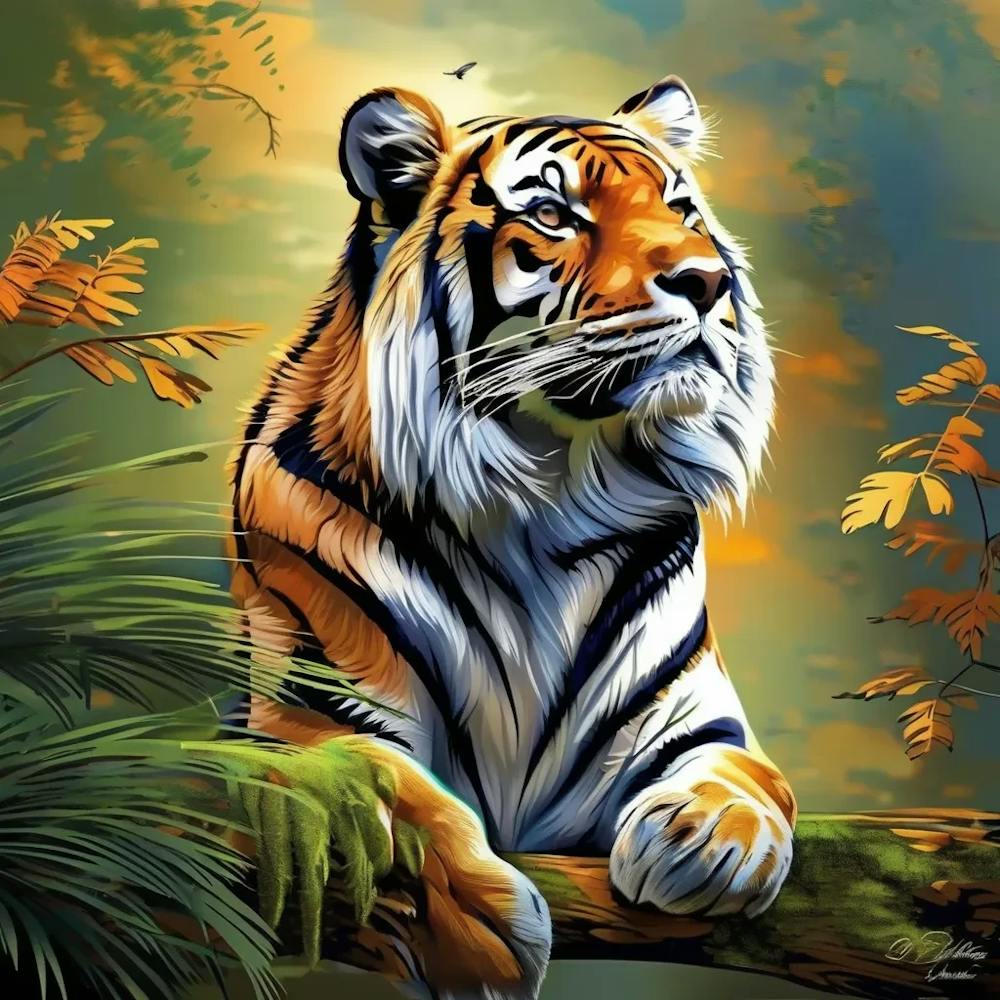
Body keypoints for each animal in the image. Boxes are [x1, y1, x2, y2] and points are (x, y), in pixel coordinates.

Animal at [230, 75, 796, 999]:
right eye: (556, 214)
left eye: (682, 209)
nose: (707, 281)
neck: (556, 497)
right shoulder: (306, 722)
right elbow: (395, 803)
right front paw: (485, 942)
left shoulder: (698, 719)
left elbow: (746, 775)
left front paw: (705, 839)